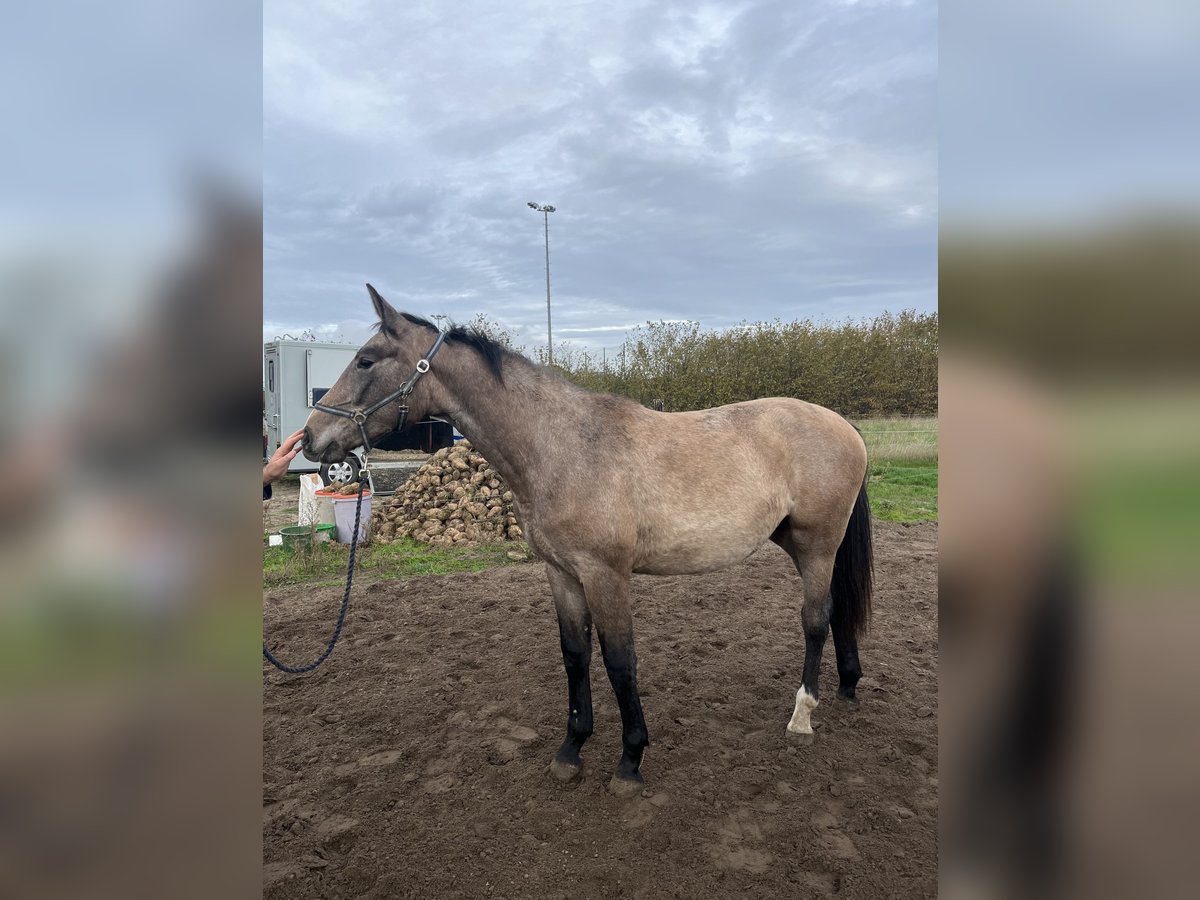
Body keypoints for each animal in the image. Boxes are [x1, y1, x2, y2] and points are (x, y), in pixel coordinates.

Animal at [302, 284, 874, 797]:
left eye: (366, 361)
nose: (310, 439)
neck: (562, 448)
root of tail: (844, 426)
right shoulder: (562, 573)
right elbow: (575, 656)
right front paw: (571, 750)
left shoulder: (606, 575)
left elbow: (620, 662)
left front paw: (630, 760)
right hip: (801, 543)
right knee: (836, 610)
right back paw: (847, 685)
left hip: (817, 545)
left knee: (815, 619)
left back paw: (802, 716)